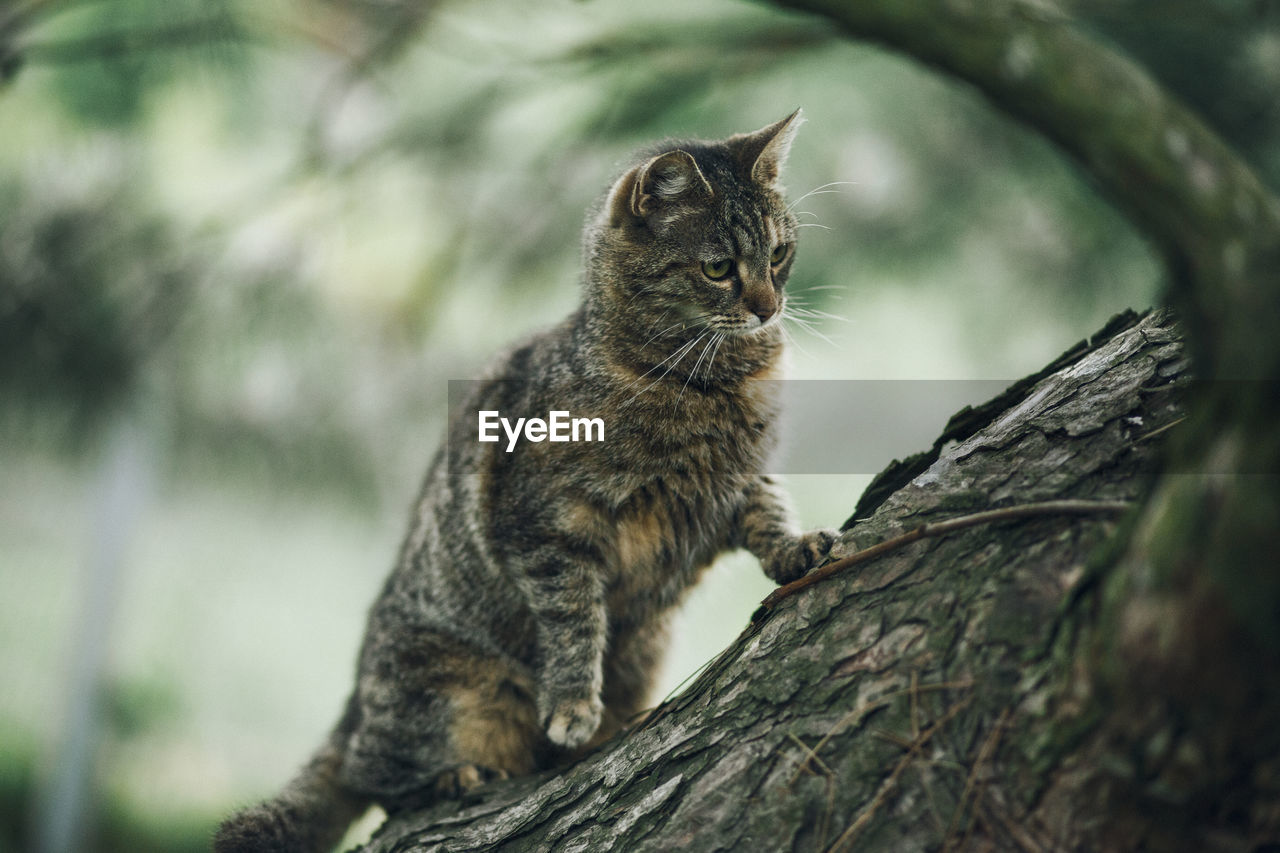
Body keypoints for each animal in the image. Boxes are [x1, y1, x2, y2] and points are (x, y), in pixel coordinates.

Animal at [217, 109, 839, 845]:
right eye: (718, 268)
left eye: (778, 255)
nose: (769, 307)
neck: (710, 378)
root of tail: (353, 707)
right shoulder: (551, 527)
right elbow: (575, 621)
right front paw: (573, 706)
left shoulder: (742, 480)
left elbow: (771, 518)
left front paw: (796, 549)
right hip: (446, 692)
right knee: (377, 780)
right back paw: (454, 776)